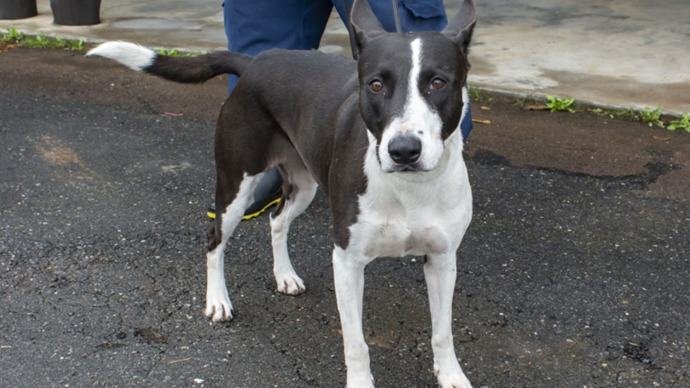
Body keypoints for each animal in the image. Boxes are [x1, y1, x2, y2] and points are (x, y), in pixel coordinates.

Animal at [88, 0, 476, 384]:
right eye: (376, 85)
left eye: (438, 82)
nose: (404, 150)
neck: (410, 188)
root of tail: (255, 62)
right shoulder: (347, 262)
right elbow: (356, 344)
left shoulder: (443, 260)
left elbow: (442, 332)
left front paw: (451, 375)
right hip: (234, 185)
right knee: (214, 241)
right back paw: (217, 299)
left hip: (305, 186)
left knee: (277, 219)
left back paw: (284, 275)